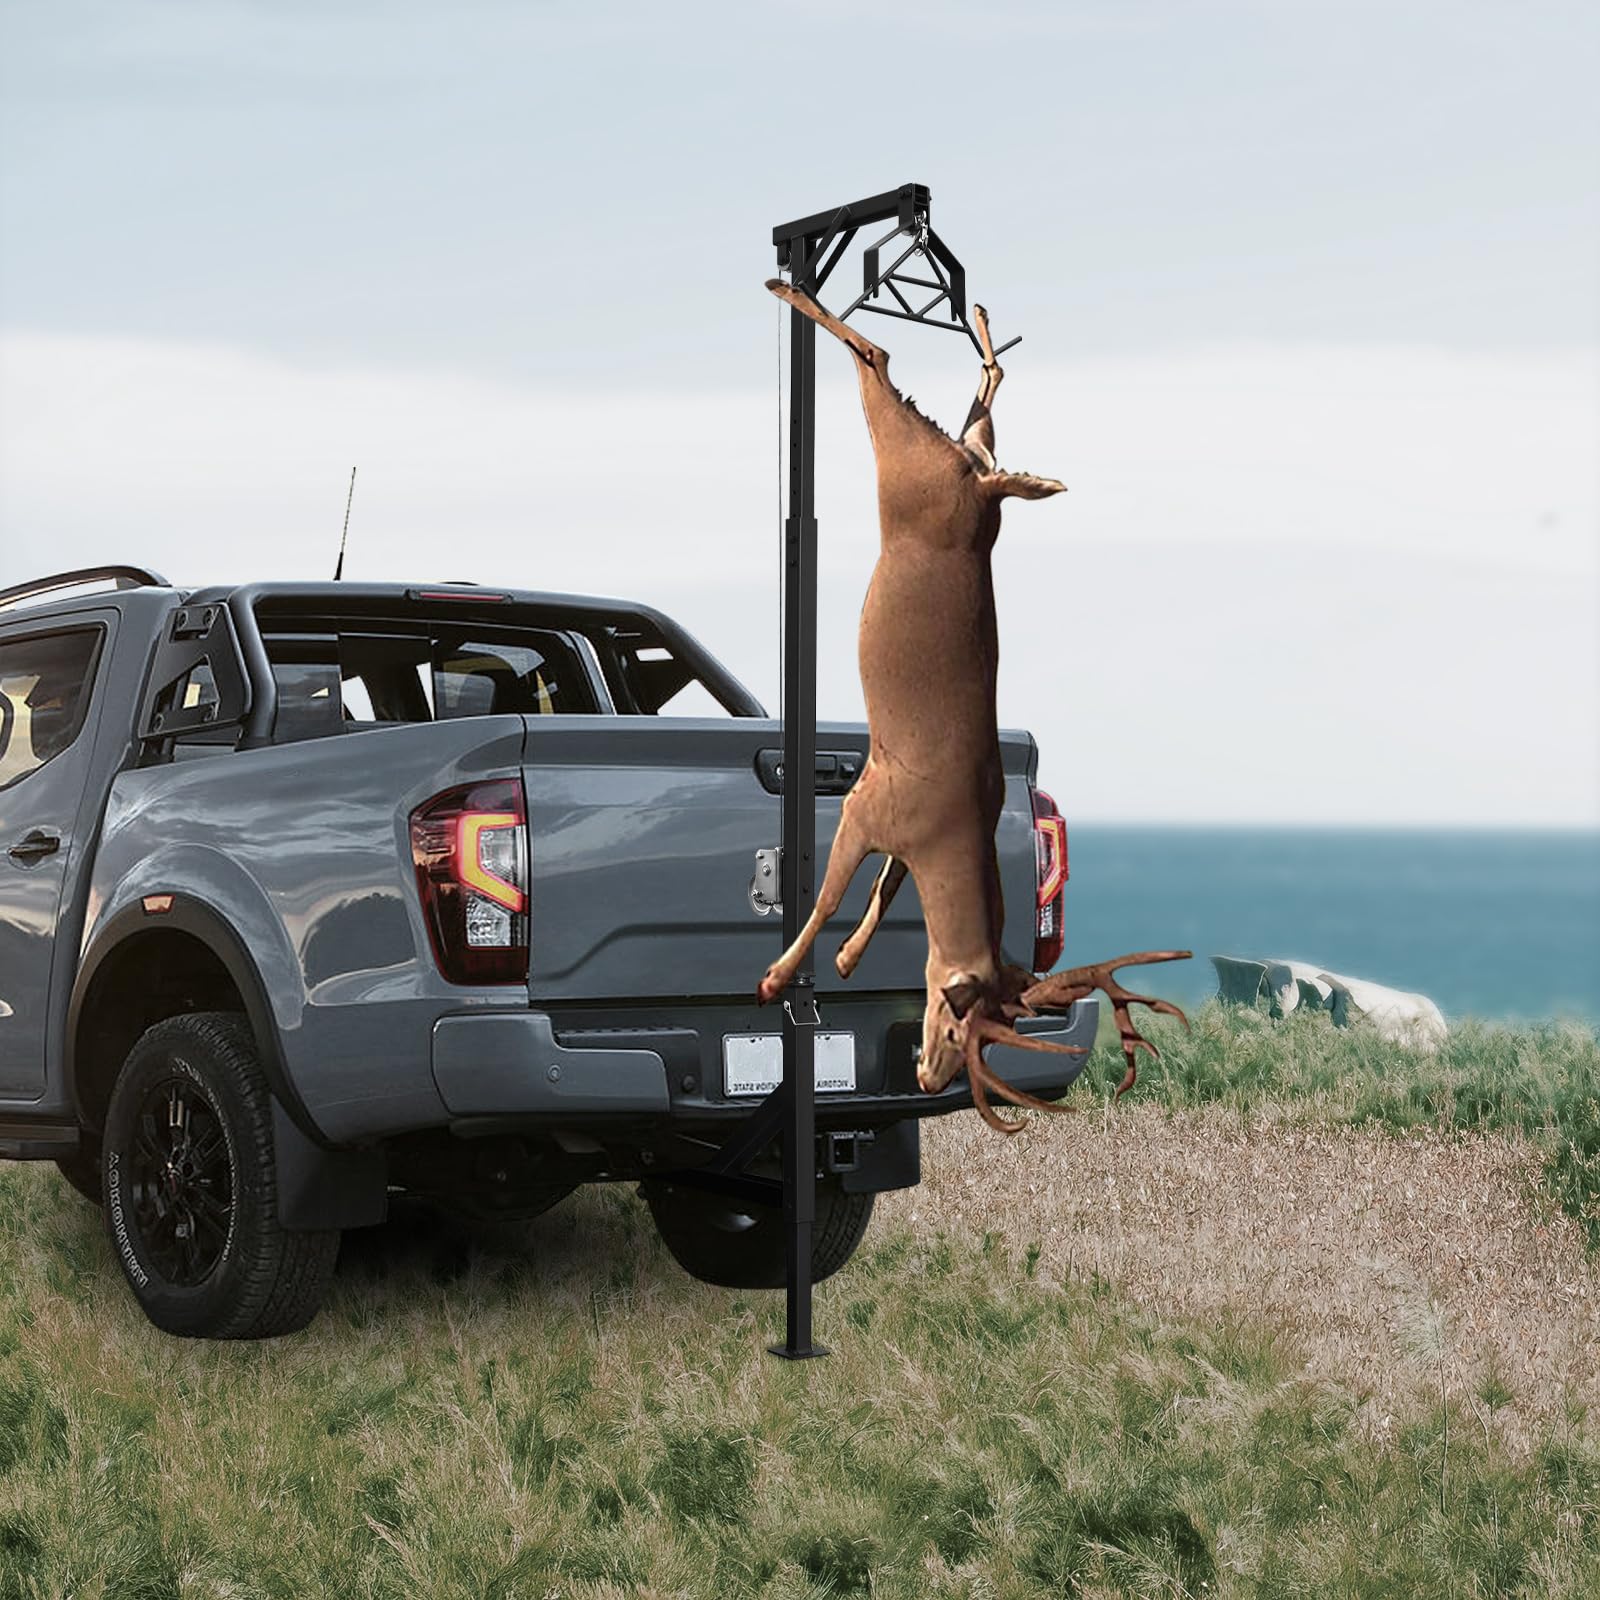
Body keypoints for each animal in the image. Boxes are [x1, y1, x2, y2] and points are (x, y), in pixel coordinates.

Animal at [755, 276, 1190, 1133]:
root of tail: (980, 491)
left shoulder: (886, 818)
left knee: (956, 403)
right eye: (966, 1024)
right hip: (915, 466)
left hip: (942, 466)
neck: (950, 831)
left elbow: (880, 889)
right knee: (891, 364)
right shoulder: (867, 805)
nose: (928, 1077)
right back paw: (792, 285)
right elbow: (828, 893)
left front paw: (847, 958)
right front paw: (777, 976)